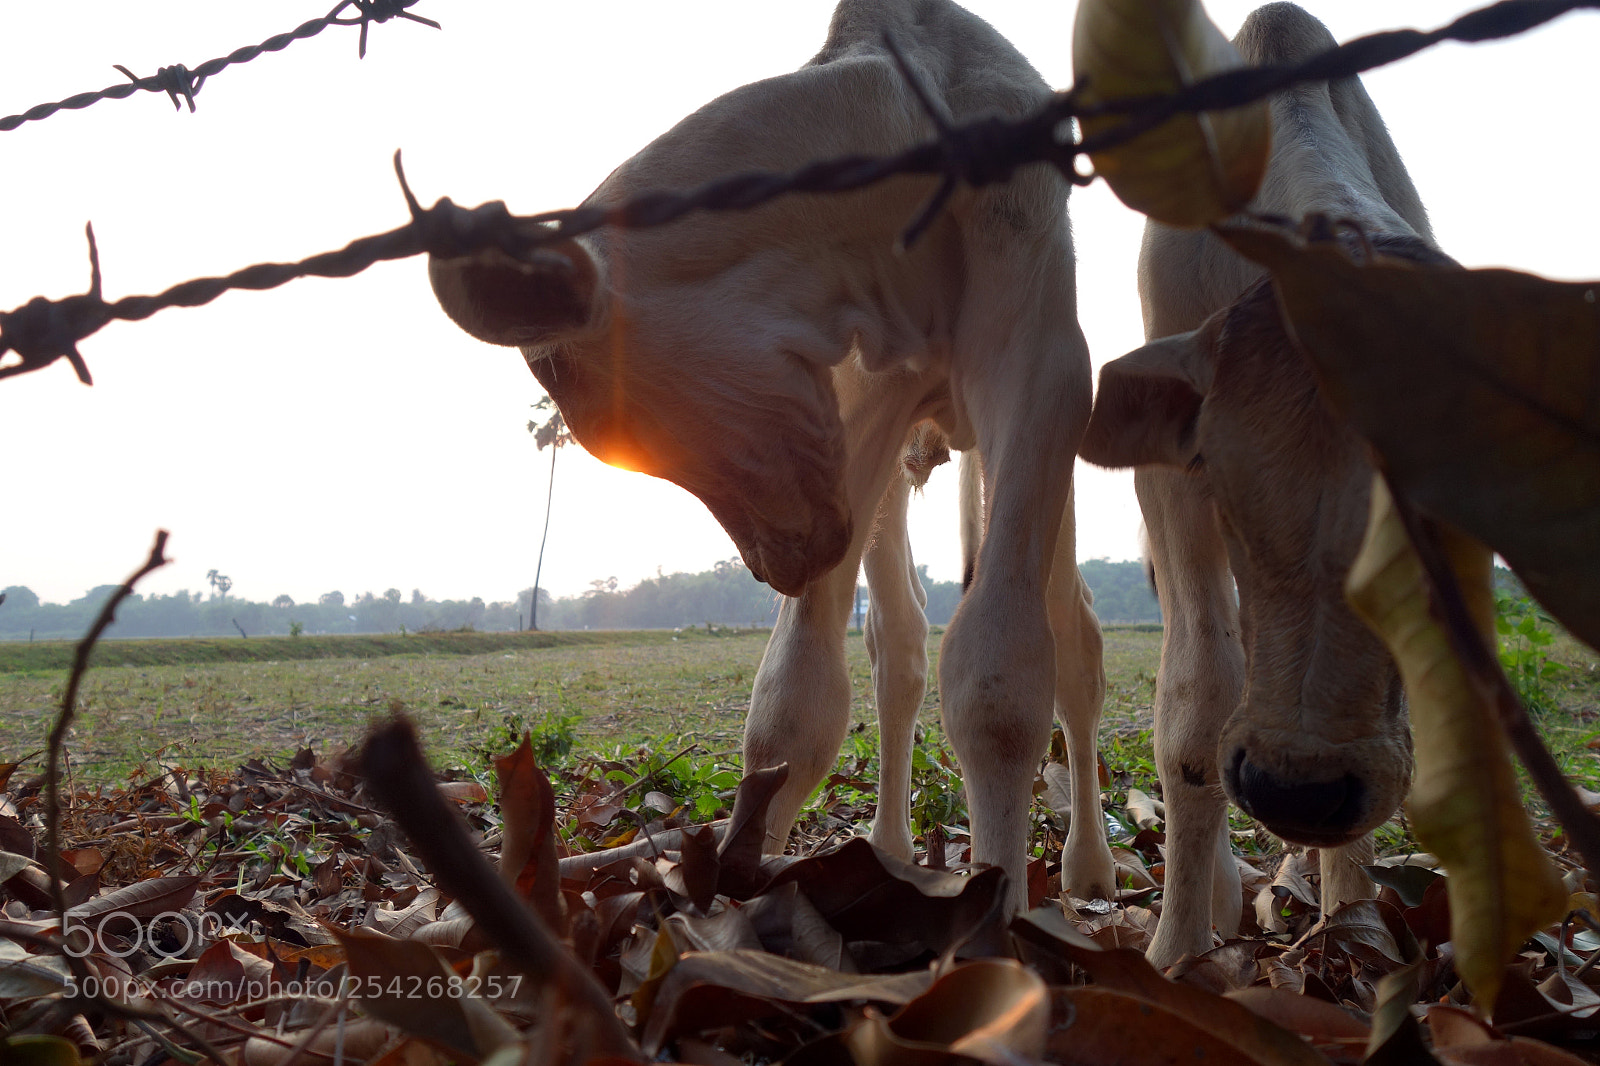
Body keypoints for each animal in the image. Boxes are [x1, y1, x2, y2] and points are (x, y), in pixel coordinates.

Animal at [426, 0, 1115, 911]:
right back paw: (890, 845)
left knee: (1075, 639)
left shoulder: (1044, 363)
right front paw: (750, 870)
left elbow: (1000, 677)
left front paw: (1000, 910)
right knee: (898, 645)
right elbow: (794, 698)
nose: (770, 561)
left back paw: (1094, 866)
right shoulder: (859, 395)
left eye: (557, 370)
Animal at [1079, 1, 1440, 966]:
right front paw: (1174, 951)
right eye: (1232, 491)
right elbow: (1196, 706)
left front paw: (1352, 921)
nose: (1301, 788)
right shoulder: (1173, 485)